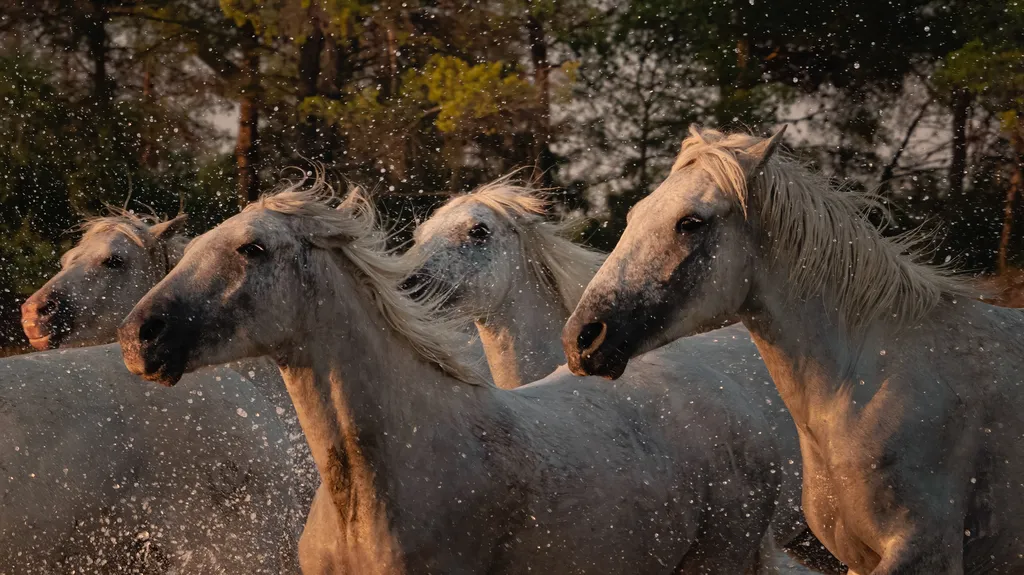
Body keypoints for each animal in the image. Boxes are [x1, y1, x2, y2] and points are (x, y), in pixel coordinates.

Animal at [563, 126, 1024, 574]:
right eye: (635, 214)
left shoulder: (925, 553)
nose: (580, 339)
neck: (866, 383)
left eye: (690, 222)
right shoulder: (858, 559)